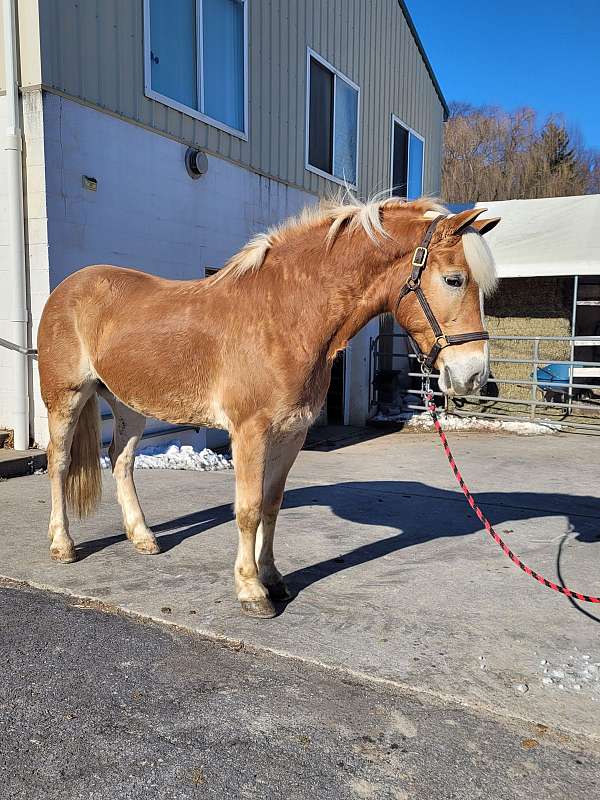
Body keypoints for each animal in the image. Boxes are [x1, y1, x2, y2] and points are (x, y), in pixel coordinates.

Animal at [35, 195, 500, 620]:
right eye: (455, 280)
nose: (474, 375)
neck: (284, 317)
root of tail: (68, 287)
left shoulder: (292, 433)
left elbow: (272, 505)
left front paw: (273, 578)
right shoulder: (250, 432)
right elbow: (248, 509)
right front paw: (250, 590)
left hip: (128, 404)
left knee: (121, 459)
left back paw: (143, 537)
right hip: (67, 397)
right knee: (59, 462)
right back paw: (62, 544)